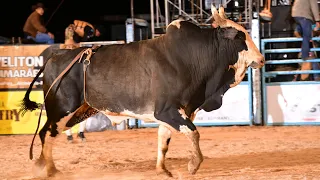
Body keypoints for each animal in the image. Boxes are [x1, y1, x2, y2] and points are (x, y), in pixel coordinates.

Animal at [20, 4, 264, 178]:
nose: (261, 59)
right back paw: (48, 170)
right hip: (62, 108)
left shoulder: (177, 111)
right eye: (239, 36)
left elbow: (164, 139)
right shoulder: (167, 110)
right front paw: (193, 165)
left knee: (50, 133)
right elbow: (193, 132)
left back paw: (48, 167)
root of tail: (55, 56)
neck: (192, 56)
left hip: (79, 110)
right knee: (46, 133)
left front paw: (163, 170)